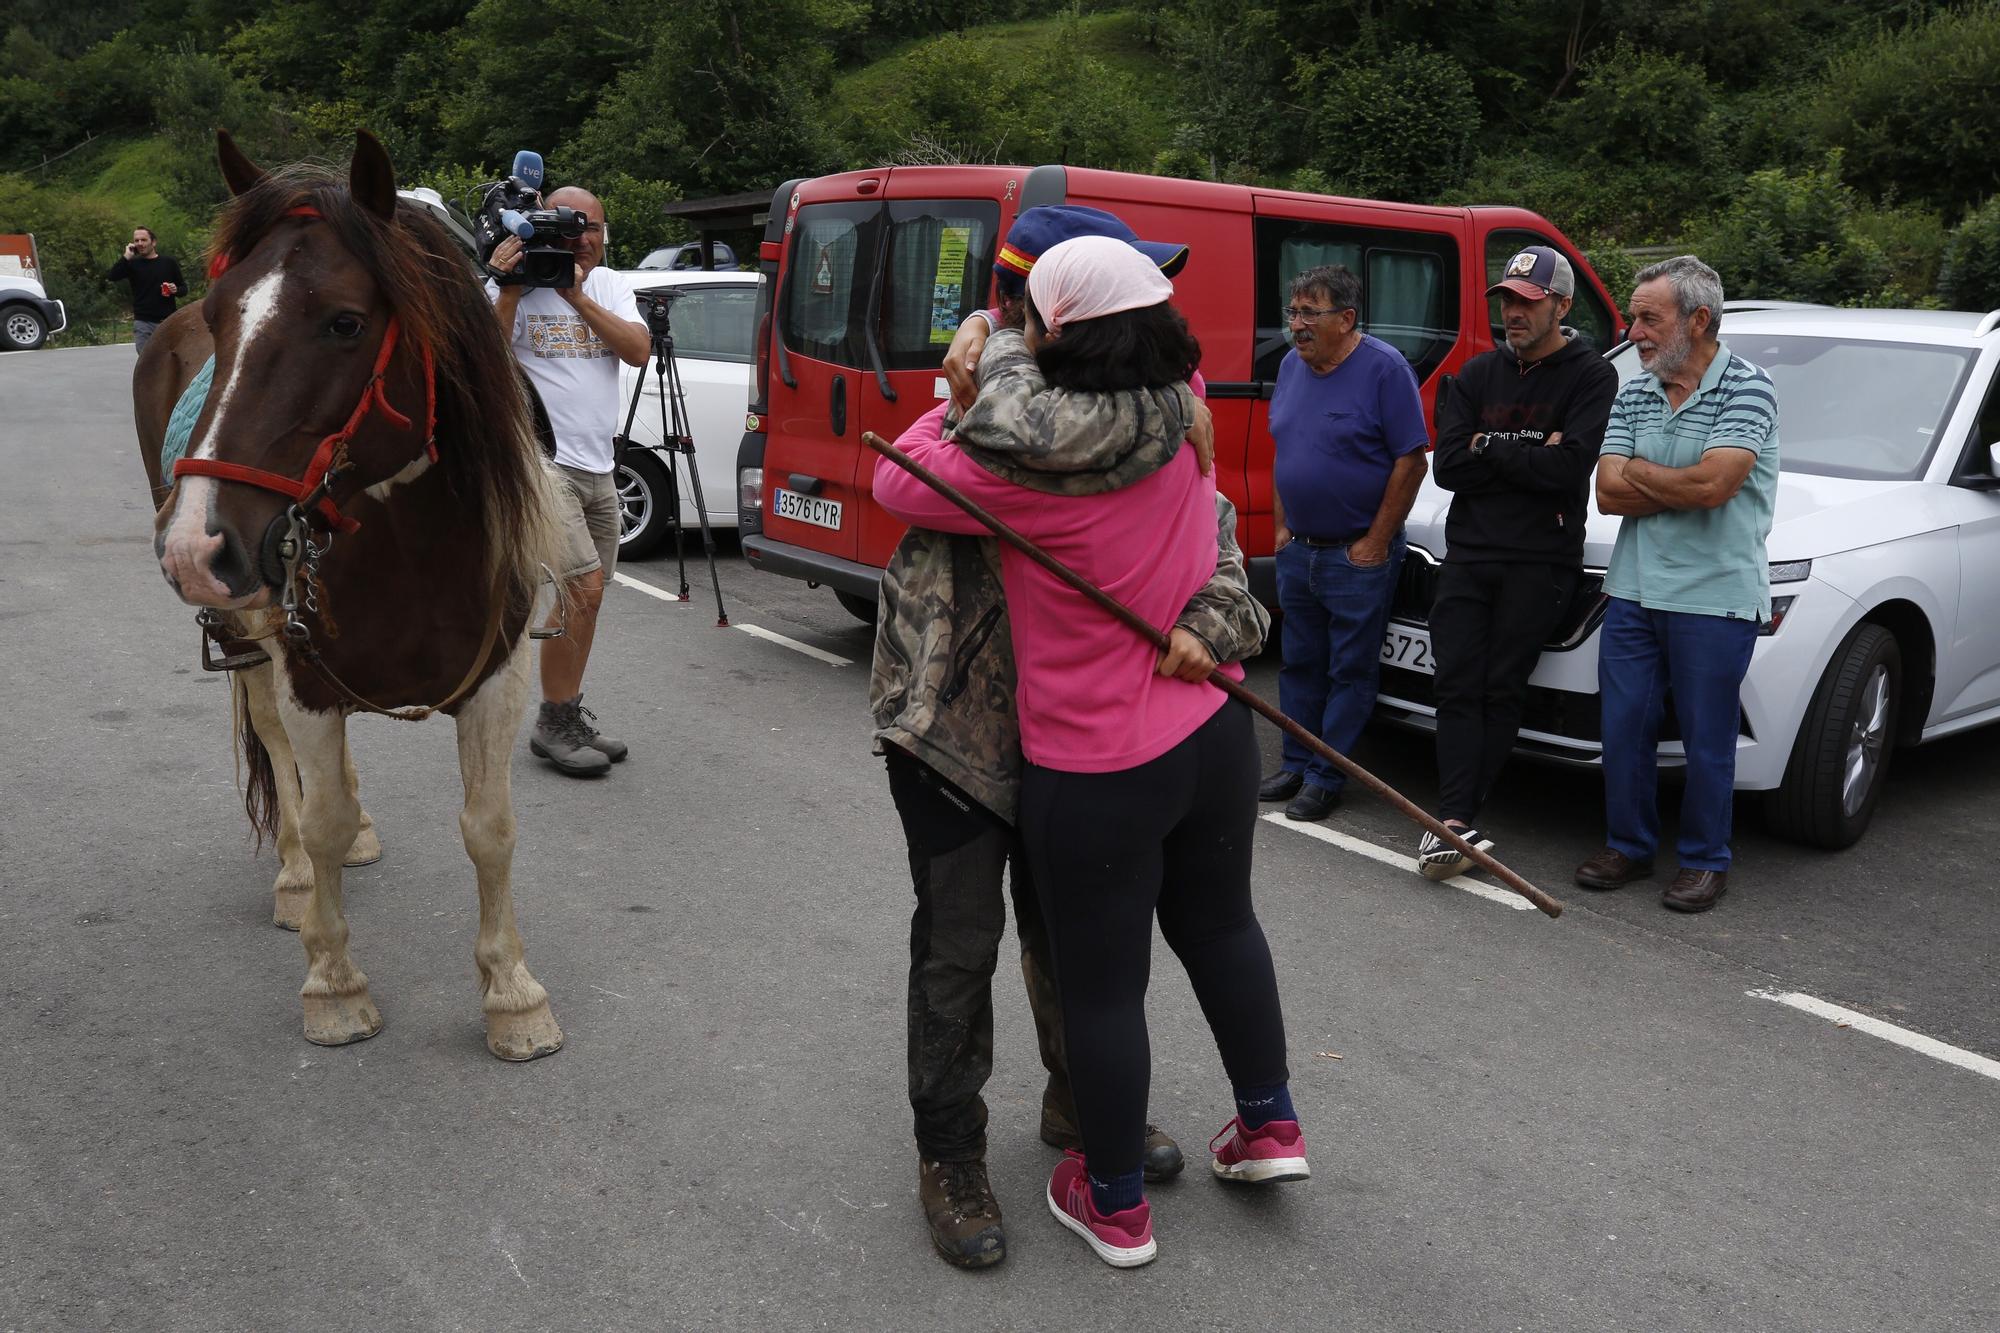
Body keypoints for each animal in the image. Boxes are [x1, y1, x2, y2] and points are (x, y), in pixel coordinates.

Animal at [150, 127, 564, 1056]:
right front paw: (333, 980)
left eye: (344, 321)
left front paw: (513, 991)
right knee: (281, 755)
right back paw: (298, 879)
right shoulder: (303, 677)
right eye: (219, 314)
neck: (415, 551)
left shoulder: (499, 676)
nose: (194, 542)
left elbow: (490, 827)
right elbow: (324, 818)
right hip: (250, 633)